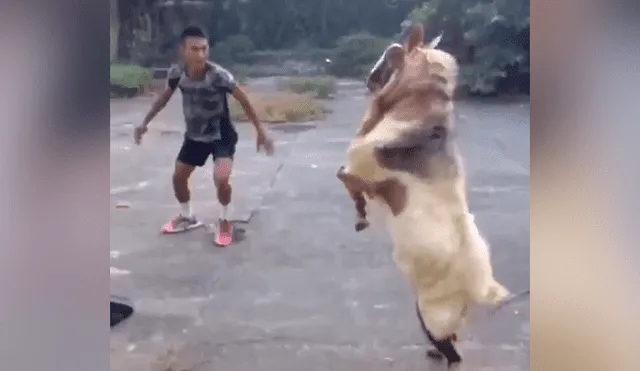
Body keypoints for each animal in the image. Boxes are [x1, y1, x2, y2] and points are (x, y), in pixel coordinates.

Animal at [336, 24, 510, 371]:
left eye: (392, 54)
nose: (368, 80)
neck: (415, 101)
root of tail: (477, 289)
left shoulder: (362, 166)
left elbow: (348, 179)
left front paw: (360, 216)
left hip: (433, 312)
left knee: (451, 349)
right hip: (436, 312)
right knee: (450, 339)